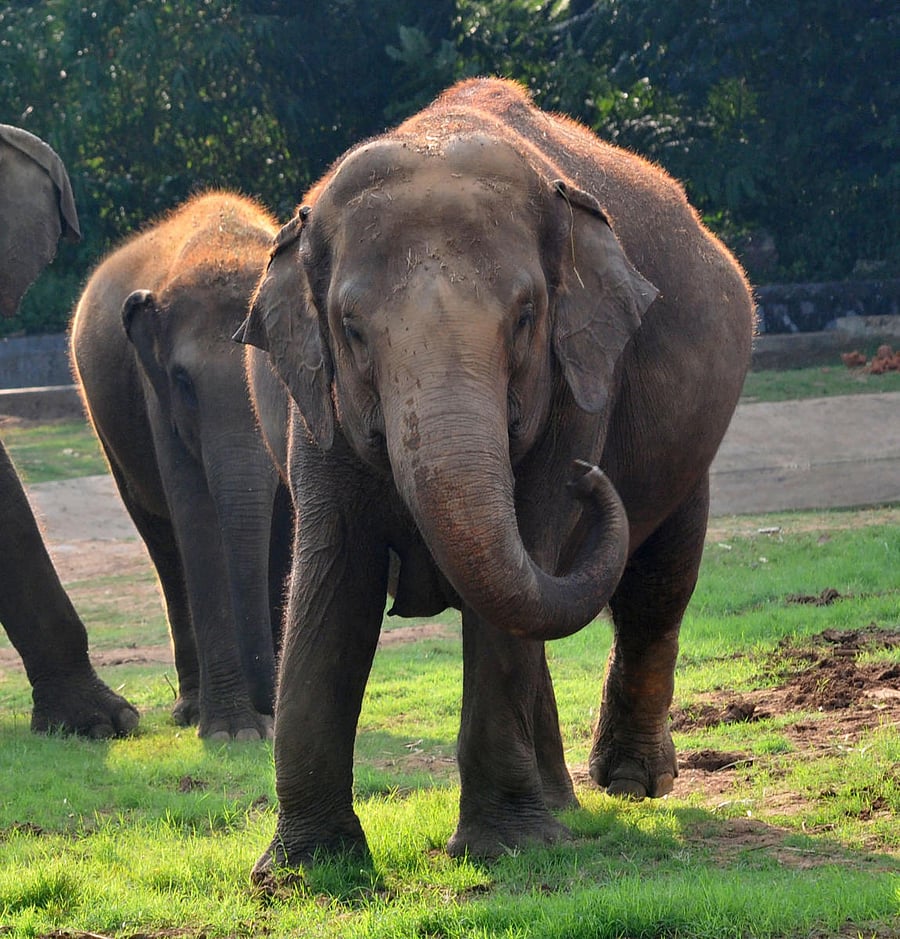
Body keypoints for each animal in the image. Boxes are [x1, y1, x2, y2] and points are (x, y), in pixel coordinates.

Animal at [71, 191, 292, 741]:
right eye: (184, 382)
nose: (270, 703)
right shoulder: (158, 400)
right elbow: (197, 521)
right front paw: (233, 733)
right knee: (164, 547)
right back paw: (190, 710)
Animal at [238, 77, 754, 876]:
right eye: (350, 327)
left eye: (526, 315)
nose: (589, 479)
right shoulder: (316, 406)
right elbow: (333, 577)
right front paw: (304, 873)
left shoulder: (576, 384)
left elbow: (530, 545)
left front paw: (507, 849)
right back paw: (562, 806)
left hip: (686, 449)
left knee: (653, 581)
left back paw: (626, 786)